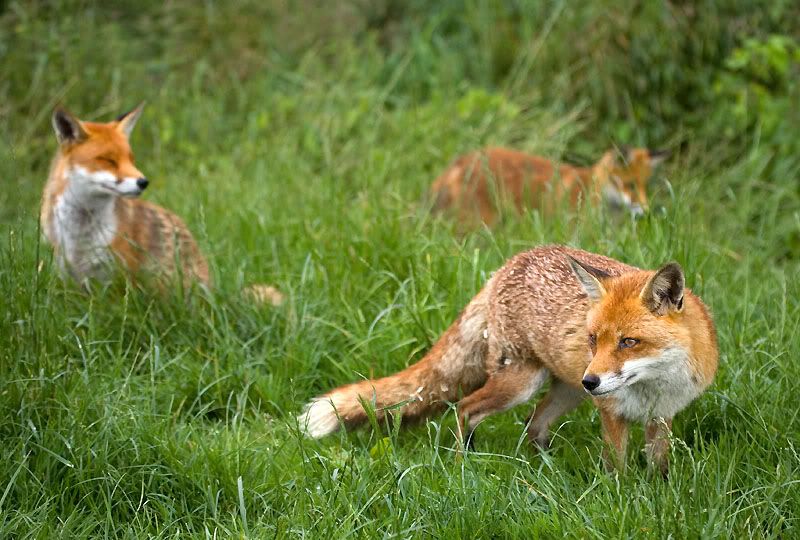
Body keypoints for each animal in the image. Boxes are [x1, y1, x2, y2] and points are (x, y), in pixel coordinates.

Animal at [40, 104, 284, 305]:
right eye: (108, 160)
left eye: (131, 159)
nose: (143, 182)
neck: (79, 233)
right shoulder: (71, 276)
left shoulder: (120, 277)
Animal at [298, 245, 718, 475]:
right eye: (593, 340)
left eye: (629, 342)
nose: (592, 380)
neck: (654, 386)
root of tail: (504, 267)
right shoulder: (611, 412)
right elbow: (617, 468)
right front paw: (618, 495)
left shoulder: (660, 416)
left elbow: (659, 468)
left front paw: (657, 494)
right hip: (523, 384)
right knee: (466, 408)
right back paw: (463, 466)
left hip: (567, 392)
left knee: (534, 424)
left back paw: (545, 470)